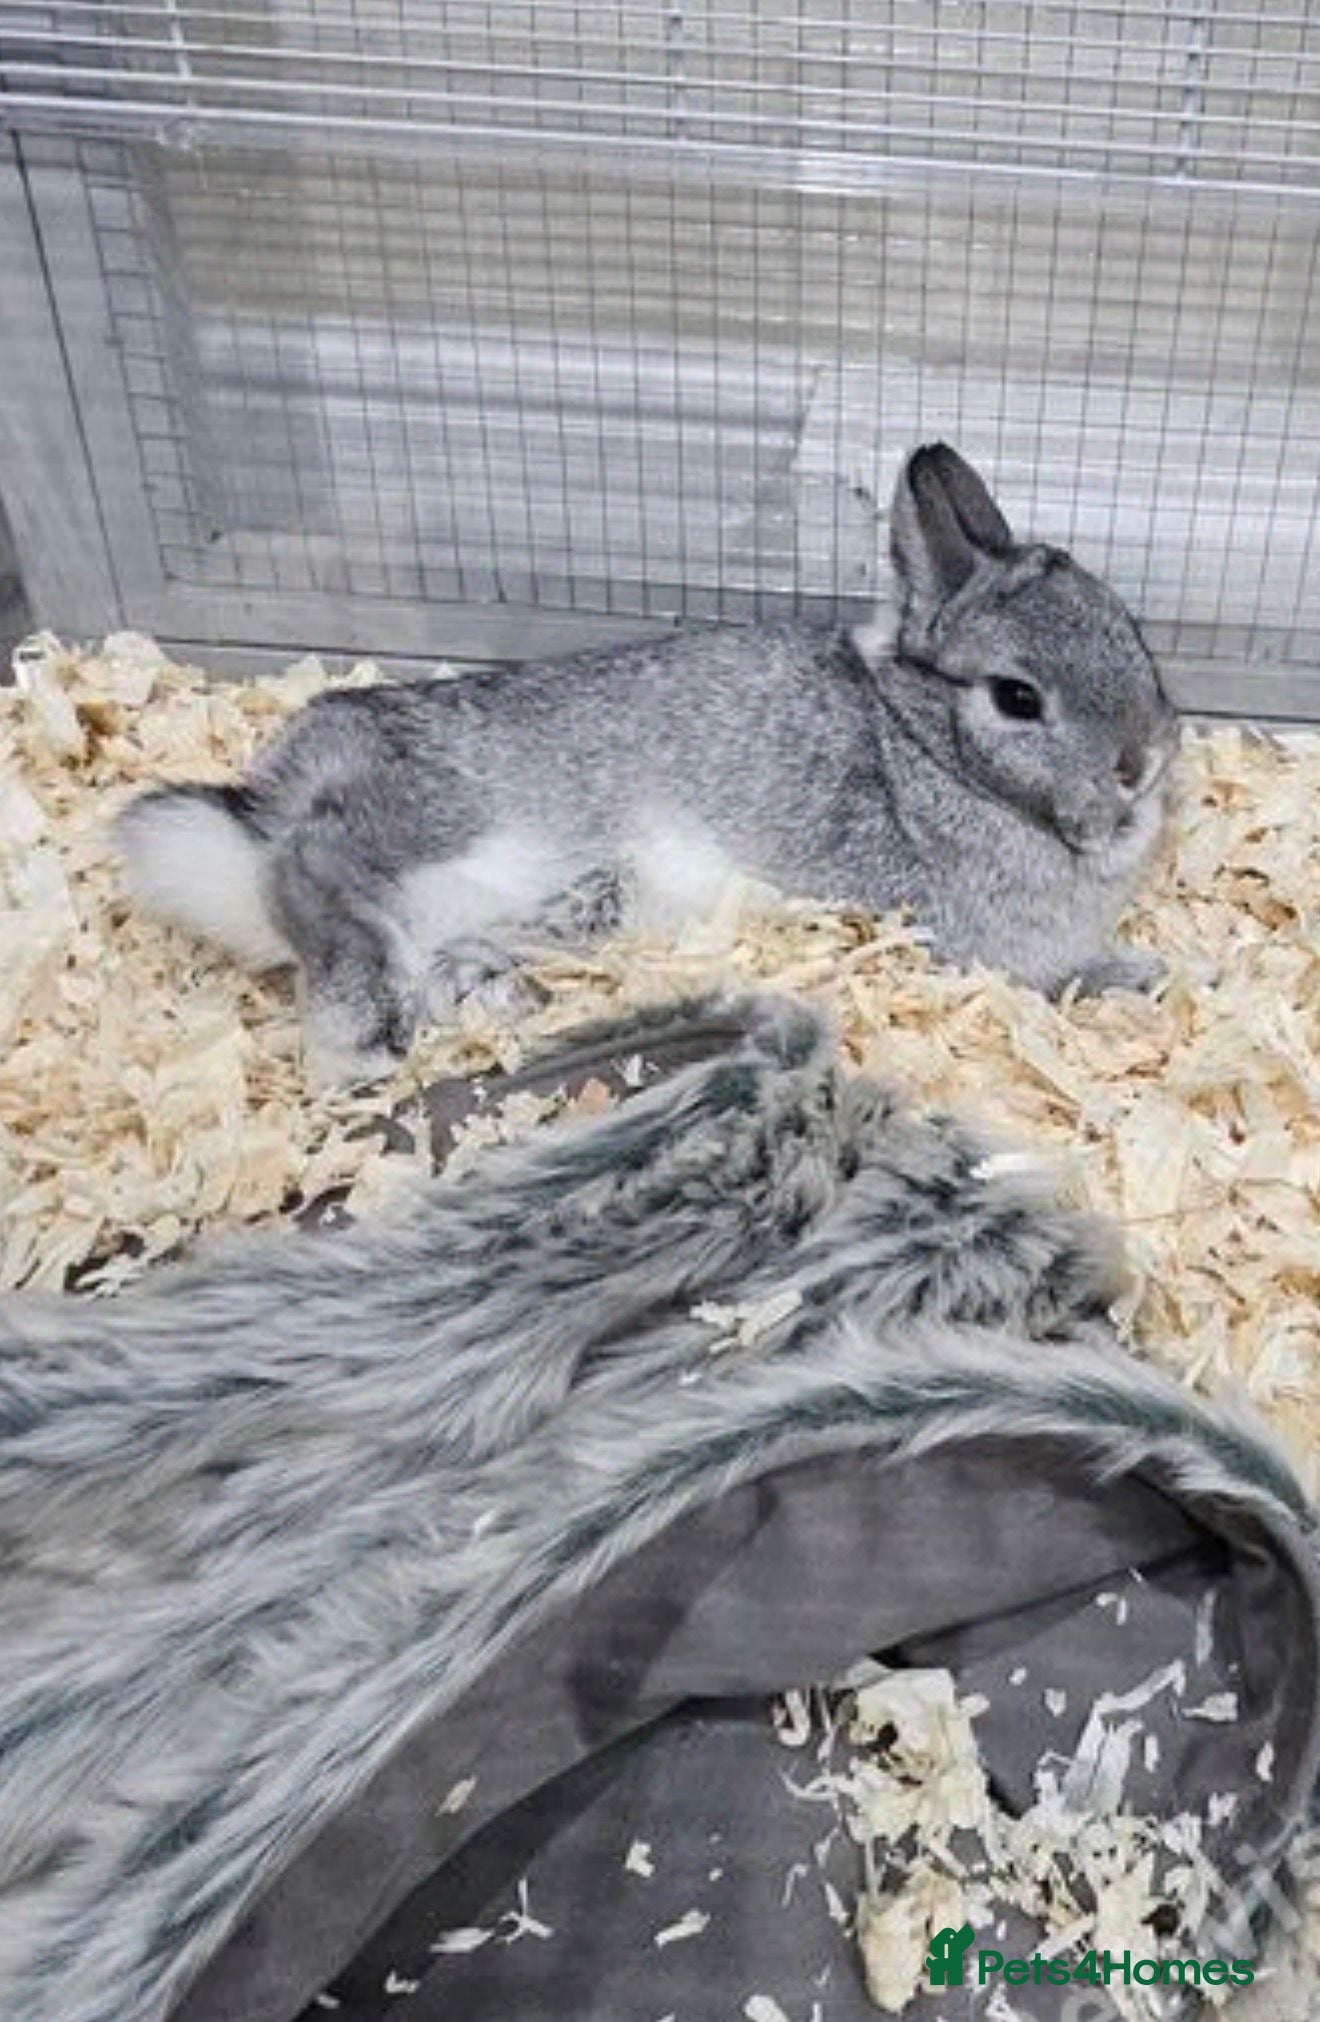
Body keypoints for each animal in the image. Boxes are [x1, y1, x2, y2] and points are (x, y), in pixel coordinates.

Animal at [115, 444, 1179, 1084]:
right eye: (1017, 698)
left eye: (1132, 631)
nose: (1141, 762)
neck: (922, 747)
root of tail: (271, 792)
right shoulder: (976, 945)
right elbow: (1061, 974)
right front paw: (1147, 974)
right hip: (452, 820)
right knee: (312, 872)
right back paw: (358, 1039)